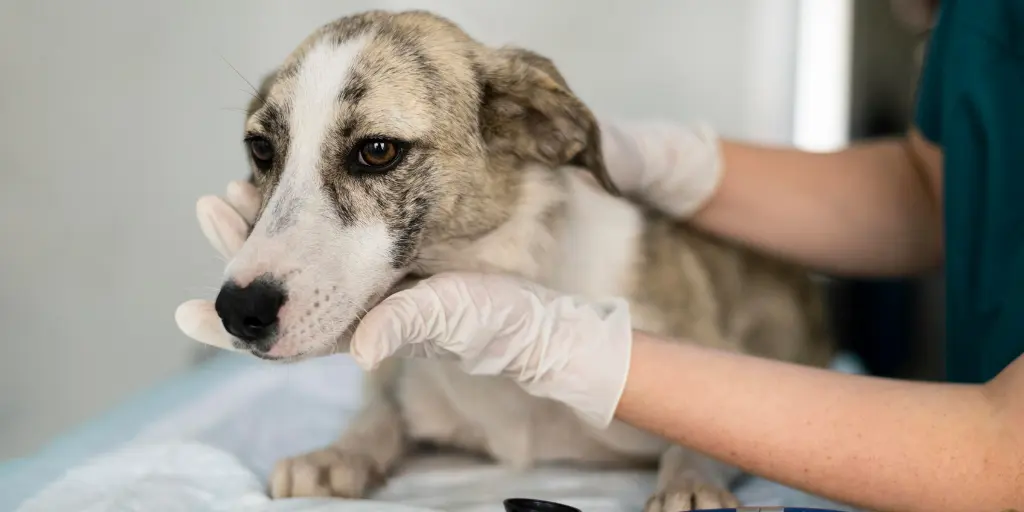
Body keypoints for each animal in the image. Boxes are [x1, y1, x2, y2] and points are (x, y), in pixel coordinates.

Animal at [214, 9, 831, 509]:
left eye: (377, 150)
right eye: (261, 148)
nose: (238, 311)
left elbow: (706, 436)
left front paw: (691, 483)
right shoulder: (404, 388)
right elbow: (380, 411)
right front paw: (339, 452)